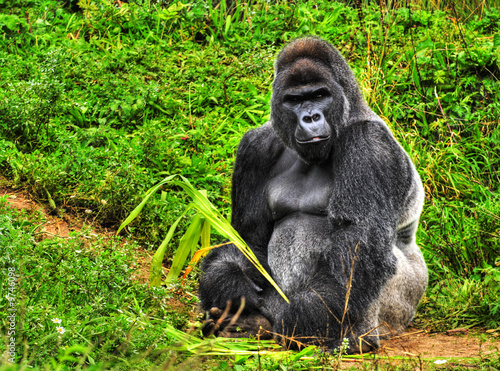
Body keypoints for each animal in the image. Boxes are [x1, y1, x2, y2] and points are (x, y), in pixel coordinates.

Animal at [197, 37, 428, 354]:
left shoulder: (369, 145)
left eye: (320, 95)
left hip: (404, 305)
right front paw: (229, 285)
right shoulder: (256, 147)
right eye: (294, 100)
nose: (310, 117)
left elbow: (357, 243)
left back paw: (355, 339)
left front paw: (301, 320)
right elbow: (249, 238)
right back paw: (249, 325)